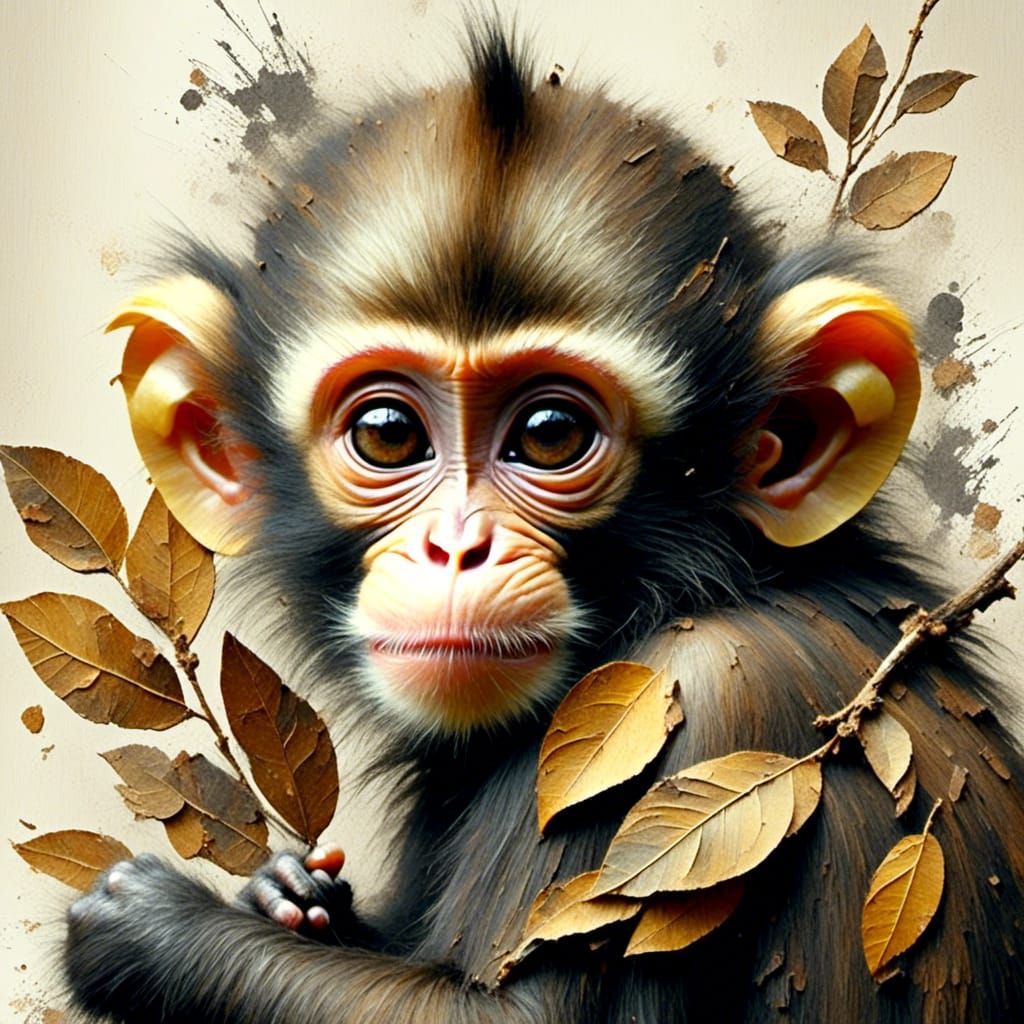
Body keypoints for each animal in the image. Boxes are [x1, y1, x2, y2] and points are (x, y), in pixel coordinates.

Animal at [62, 23, 1023, 1024]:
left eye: (550, 434)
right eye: (388, 433)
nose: (457, 546)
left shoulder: (696, 697)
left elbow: (504, 1014)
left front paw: (150, 926)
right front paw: (286, 891)